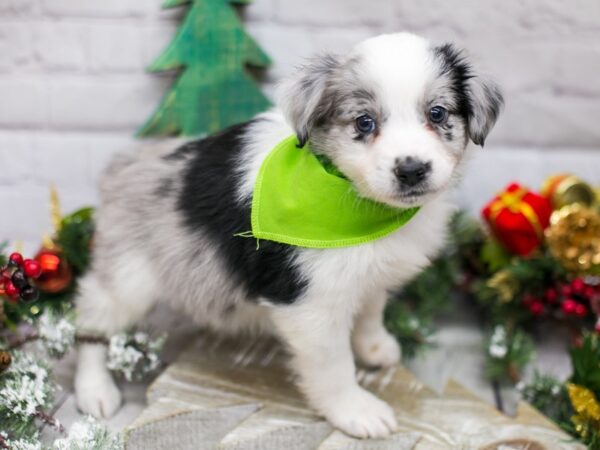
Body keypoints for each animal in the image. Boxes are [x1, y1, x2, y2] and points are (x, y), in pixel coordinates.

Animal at [75, 32, 502, 440]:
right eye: (364, 123)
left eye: (437, 113)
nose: (412, 169)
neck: (362, 206)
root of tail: (120, 167)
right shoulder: (310, 306)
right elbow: (334, 366)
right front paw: (356, 410)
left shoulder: (368, 273)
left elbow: (370, 308)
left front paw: (375, 347)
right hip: (129, 275)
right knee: (90, 315)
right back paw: (94, 390)